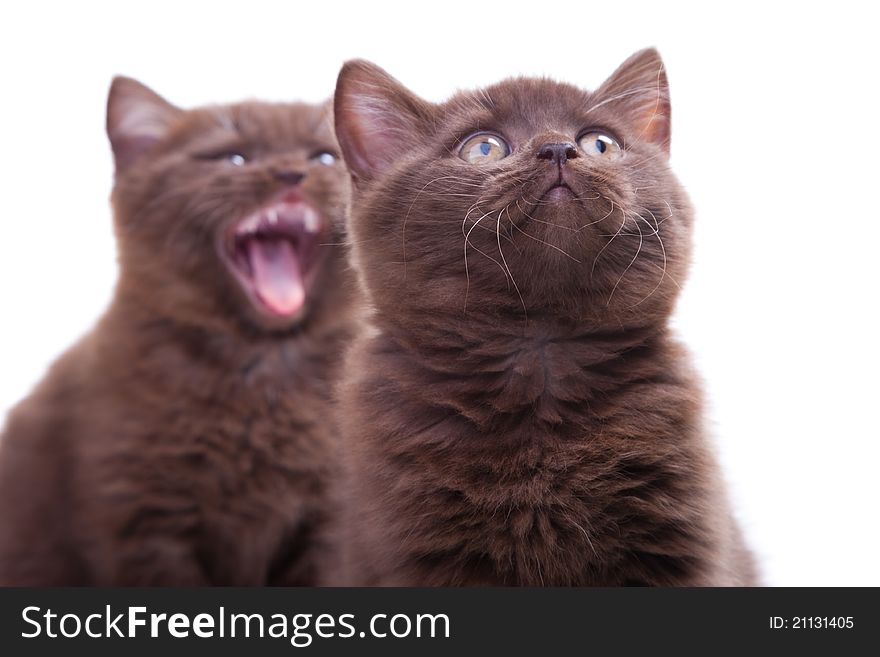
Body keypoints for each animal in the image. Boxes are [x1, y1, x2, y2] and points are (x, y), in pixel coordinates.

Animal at [0, 78, 358, 584]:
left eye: (324, 157)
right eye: (233, 158)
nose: (291, 174)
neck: (262, 369)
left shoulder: (328, 521)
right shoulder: (142, 519)